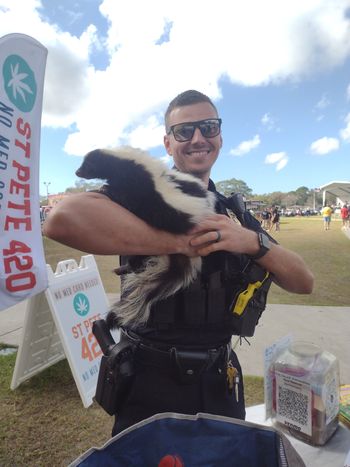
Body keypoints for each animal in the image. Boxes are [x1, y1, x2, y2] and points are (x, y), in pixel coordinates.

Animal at [75, 147, 215, 330]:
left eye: (88, 164)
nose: (77, 172)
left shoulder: (138, 190)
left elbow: (125, 198)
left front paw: (104, 189)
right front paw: (104, 187)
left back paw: (130, 265)